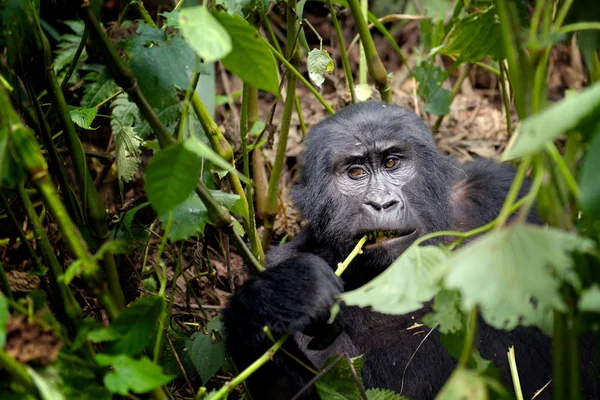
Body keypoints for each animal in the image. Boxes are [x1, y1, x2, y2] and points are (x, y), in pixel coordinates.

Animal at [223, 102, 596, 400]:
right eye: (355, 172)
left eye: (391, 163)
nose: (381, 202)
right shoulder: (291, 258)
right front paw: (280, 296)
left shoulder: (501, 192)